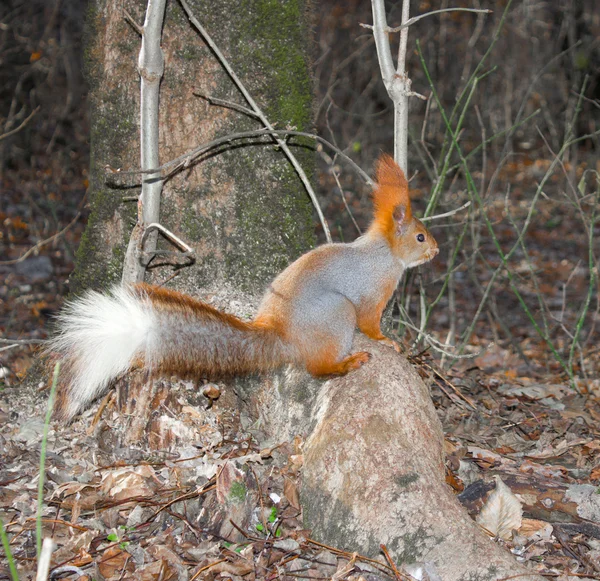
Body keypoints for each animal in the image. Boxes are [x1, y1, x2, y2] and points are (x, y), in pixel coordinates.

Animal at [49, 152, 438, 420]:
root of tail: (282, 336)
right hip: (337, 314)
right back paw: (347, 363)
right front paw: (387, 341)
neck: (385, 253)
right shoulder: (371, 293)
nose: (436, 250)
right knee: (317, 368)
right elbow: (370, 323)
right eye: (420, 236)